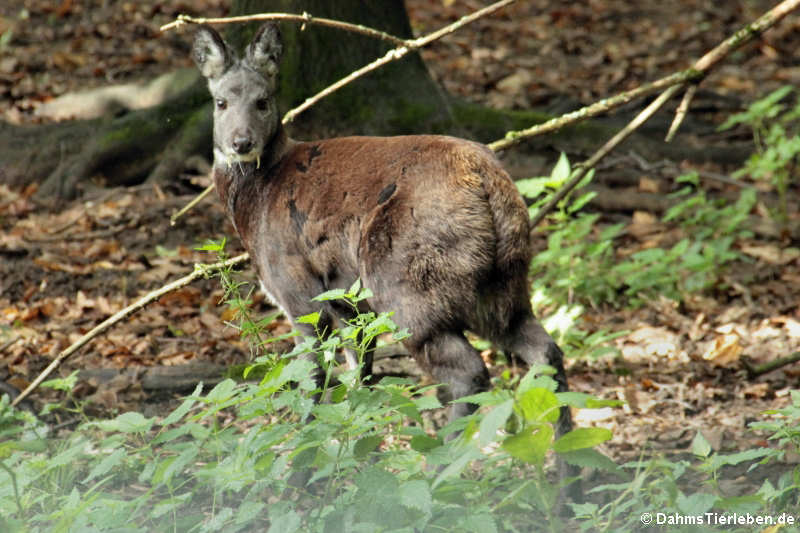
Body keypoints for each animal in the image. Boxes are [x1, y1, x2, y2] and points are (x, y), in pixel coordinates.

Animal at [191, 22, 572, 434]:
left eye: (263, 101)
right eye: (220, 103)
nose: (241, 142)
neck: (259, 198)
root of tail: (484, 177)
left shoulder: (296, 287)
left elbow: (313, 377)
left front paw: (302, 445)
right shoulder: (347, 301)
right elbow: (360, 374)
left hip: (407, 282)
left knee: (467, 371)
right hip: (504, 283)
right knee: (544, 349)